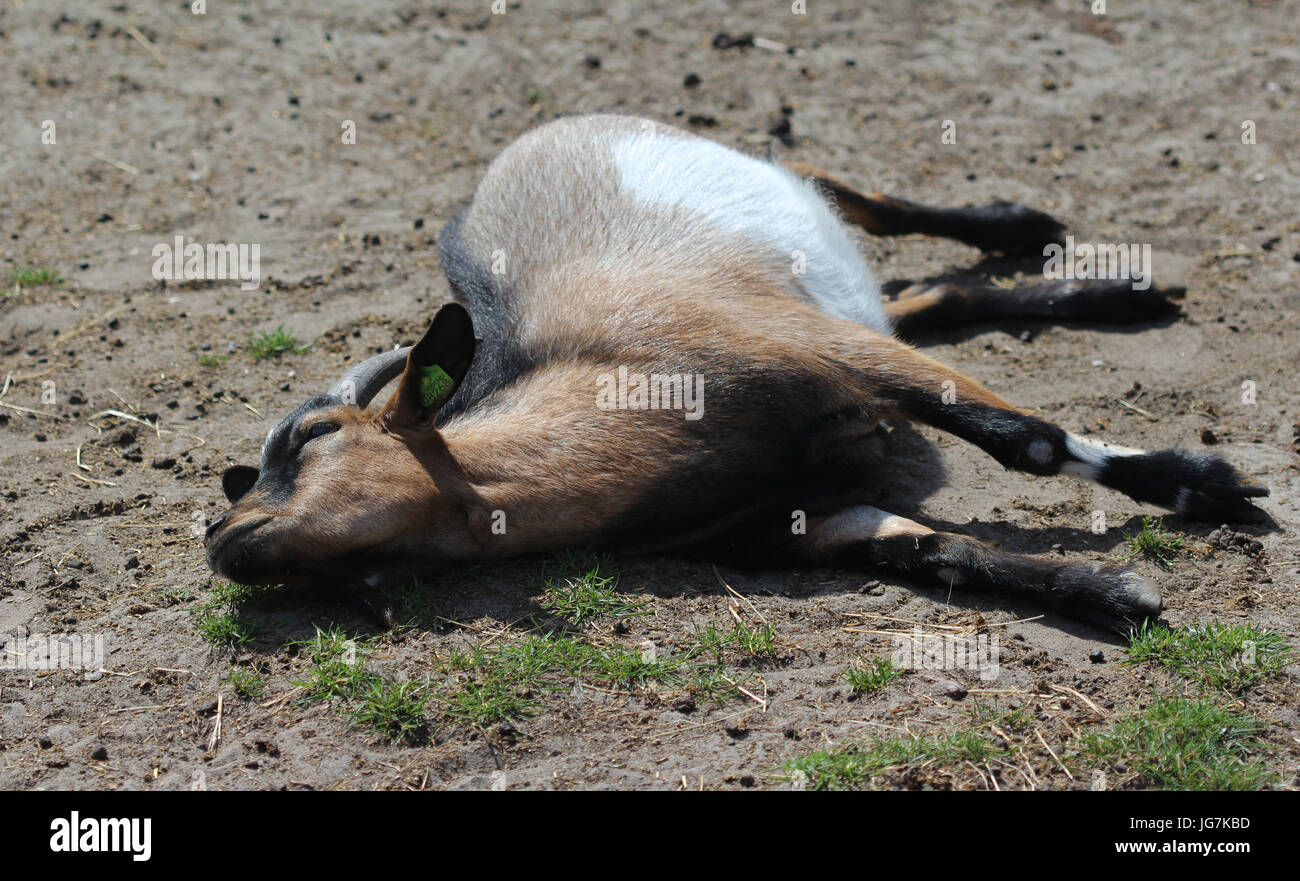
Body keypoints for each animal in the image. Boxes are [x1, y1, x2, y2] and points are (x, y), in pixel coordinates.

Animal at [205, 114, 1268, 633]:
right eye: (341, 586)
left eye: (308, 436)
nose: (217, 531)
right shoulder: (792, 519)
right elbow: (931, 550)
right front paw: (1103, 593)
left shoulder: (819, 349)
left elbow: (1030, 442)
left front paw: (1208, 485)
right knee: (932, 297)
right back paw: (1111, 294)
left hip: (770, 198)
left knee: (865, 200)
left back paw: (1029, 227)